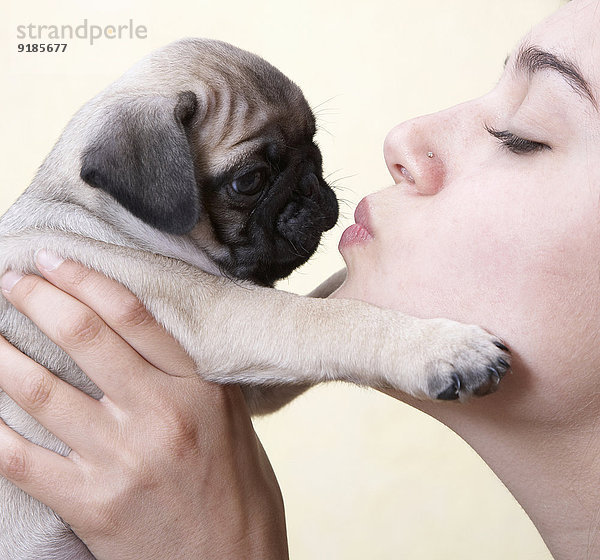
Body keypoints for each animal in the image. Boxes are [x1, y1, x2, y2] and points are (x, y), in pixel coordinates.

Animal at [0, 37, 510, 556]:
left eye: (314, 141)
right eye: (249, 181)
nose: (312, 183)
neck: (103, 216)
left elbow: (334, 294)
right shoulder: (223, 314)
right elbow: (332, 318)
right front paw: (441, 346)